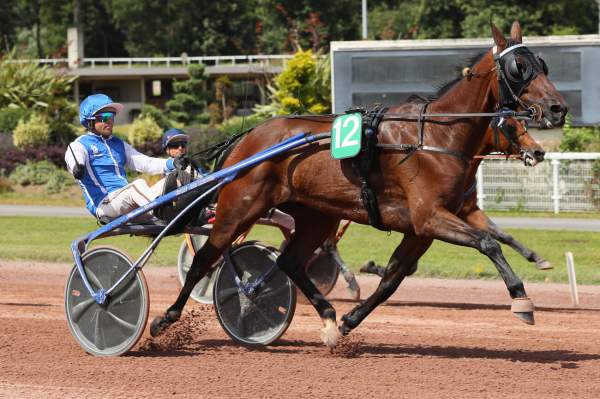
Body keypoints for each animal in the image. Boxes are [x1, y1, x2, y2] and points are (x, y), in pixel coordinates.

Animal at [151, 21, 568, 348]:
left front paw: (349, 322)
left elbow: (394, 279)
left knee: (289, 260)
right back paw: (164, 319)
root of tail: (246, 139)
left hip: (317, 215)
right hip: (240, 206)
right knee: (205, 258)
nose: (558, 108)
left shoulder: (425, 227)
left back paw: (328, 316)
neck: (436, 136)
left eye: (543, 64)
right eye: (518, 67)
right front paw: (521, 299)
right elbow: (486, 243)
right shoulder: (430, 216)